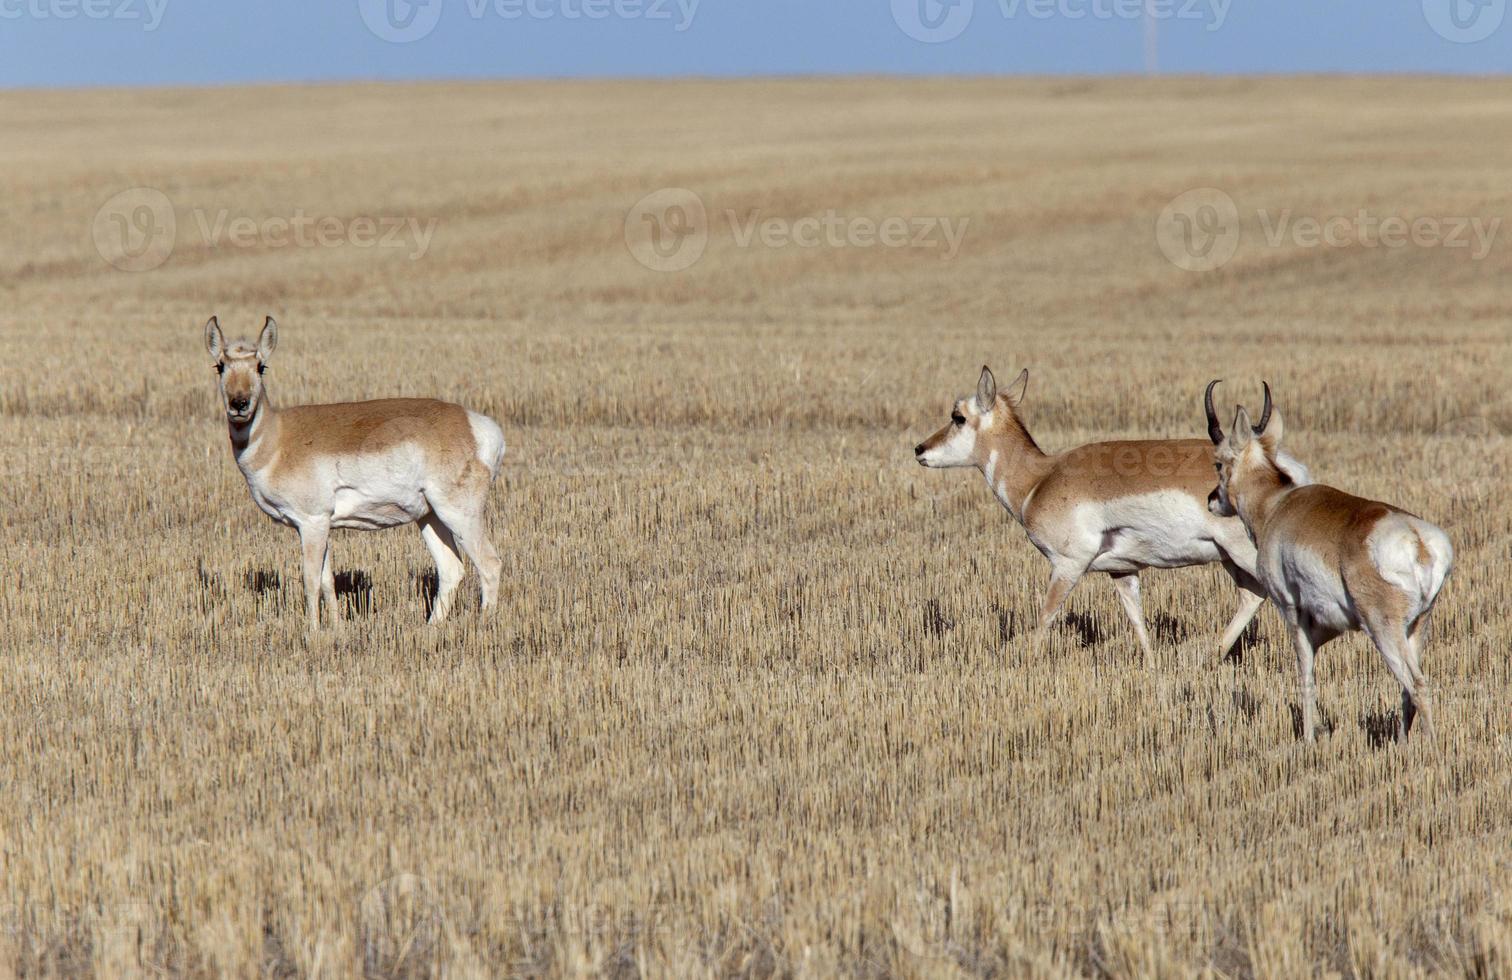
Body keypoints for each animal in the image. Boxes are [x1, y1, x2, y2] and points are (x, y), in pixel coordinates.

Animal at [205, 317, 508, 632]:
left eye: (260, 366)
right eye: (220, 365)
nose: (239, 403)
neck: (277, 437)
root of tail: (476, 424)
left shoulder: (312, 522)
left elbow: (311, 581)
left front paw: (312, 633)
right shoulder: (320, 526)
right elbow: (328, 582)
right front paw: (337, 629)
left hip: (459, 513)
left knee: (490, 564)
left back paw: (485, 624)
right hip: (430, 516)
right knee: (451, 569)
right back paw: (429, 629)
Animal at [907, 367, 1276, 665]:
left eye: (957, 416)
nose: (919, 449)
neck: (1041, 478)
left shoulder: (1067, 565)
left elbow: (1045, 617)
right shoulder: (1122, 571)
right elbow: (1138, 624)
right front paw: (1153, 668)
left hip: (1245, 554)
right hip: (1229, 559)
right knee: (1252, 595)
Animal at [1203, 382, 1451, 744]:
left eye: (1218, 463)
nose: (1211, 500)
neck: (1276, 505)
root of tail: (1418, 540)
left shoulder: (1290, 610)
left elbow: (1305, 674)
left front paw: (1308, 738)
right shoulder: (1325, 625)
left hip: (1384, 631)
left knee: (1416, 685)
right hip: (1418, 628)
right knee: (1407, 690)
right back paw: (1402, 745)